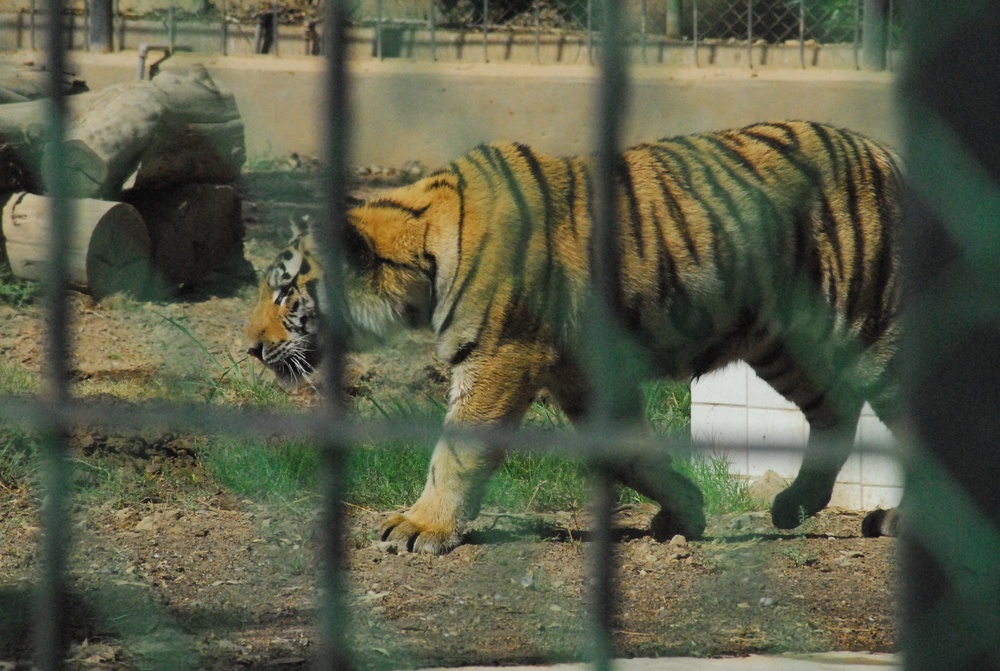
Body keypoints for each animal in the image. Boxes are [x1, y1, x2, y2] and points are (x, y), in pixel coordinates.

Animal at [248, 121, 908, 556]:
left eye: (284, 294)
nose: (250, 348)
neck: (422, 252)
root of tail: (889, 154)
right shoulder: (582, 371)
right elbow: (628, 452)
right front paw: (684, 508)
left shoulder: (498, 356)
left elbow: (457, 451)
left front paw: (421, 527)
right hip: (785, 342)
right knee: (836, 406)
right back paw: (796, 502)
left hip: (874, 329)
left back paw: (895, 521)